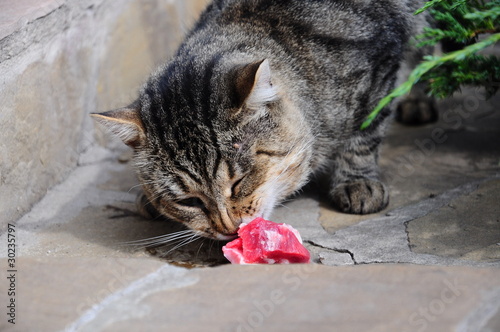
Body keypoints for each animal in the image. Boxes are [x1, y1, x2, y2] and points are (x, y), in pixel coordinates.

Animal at [93, 0, 430, 239]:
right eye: (189, 201)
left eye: (238, 182)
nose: (228, 229)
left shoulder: (379, 68)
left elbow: (364, 132)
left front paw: (356, 181)